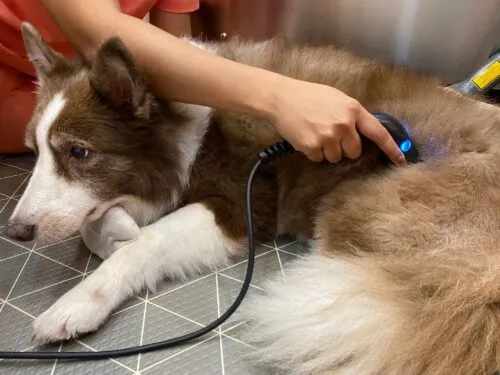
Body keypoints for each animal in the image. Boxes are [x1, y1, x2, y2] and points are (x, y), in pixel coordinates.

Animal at [5, 22, 500, 375]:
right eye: (34, 149)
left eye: (79, 153)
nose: (16, 231)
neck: (182, 126)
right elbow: (95, 224)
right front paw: (116, 230)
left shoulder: (240, 206)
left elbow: (147, 242)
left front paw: (77, 302)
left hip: (355, 208)